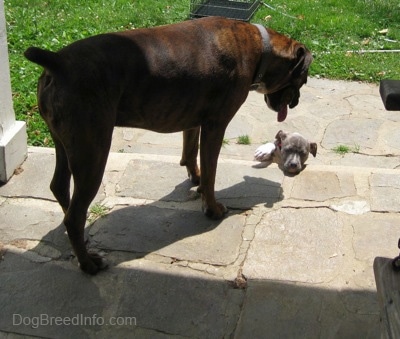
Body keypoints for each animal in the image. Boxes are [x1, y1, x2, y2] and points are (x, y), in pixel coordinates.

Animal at [24, 17, 312, 274]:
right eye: (304, 79)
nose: (297, 101)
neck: (259, 48)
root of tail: (58, 62)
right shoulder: (215, 126)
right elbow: (211, 171)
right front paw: (212, 207)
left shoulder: (194, 122)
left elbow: (191, 153)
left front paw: (195, 179)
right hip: (92, 153)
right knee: (74, 215)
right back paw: (88, 263)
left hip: (65, 145)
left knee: (61, 189)